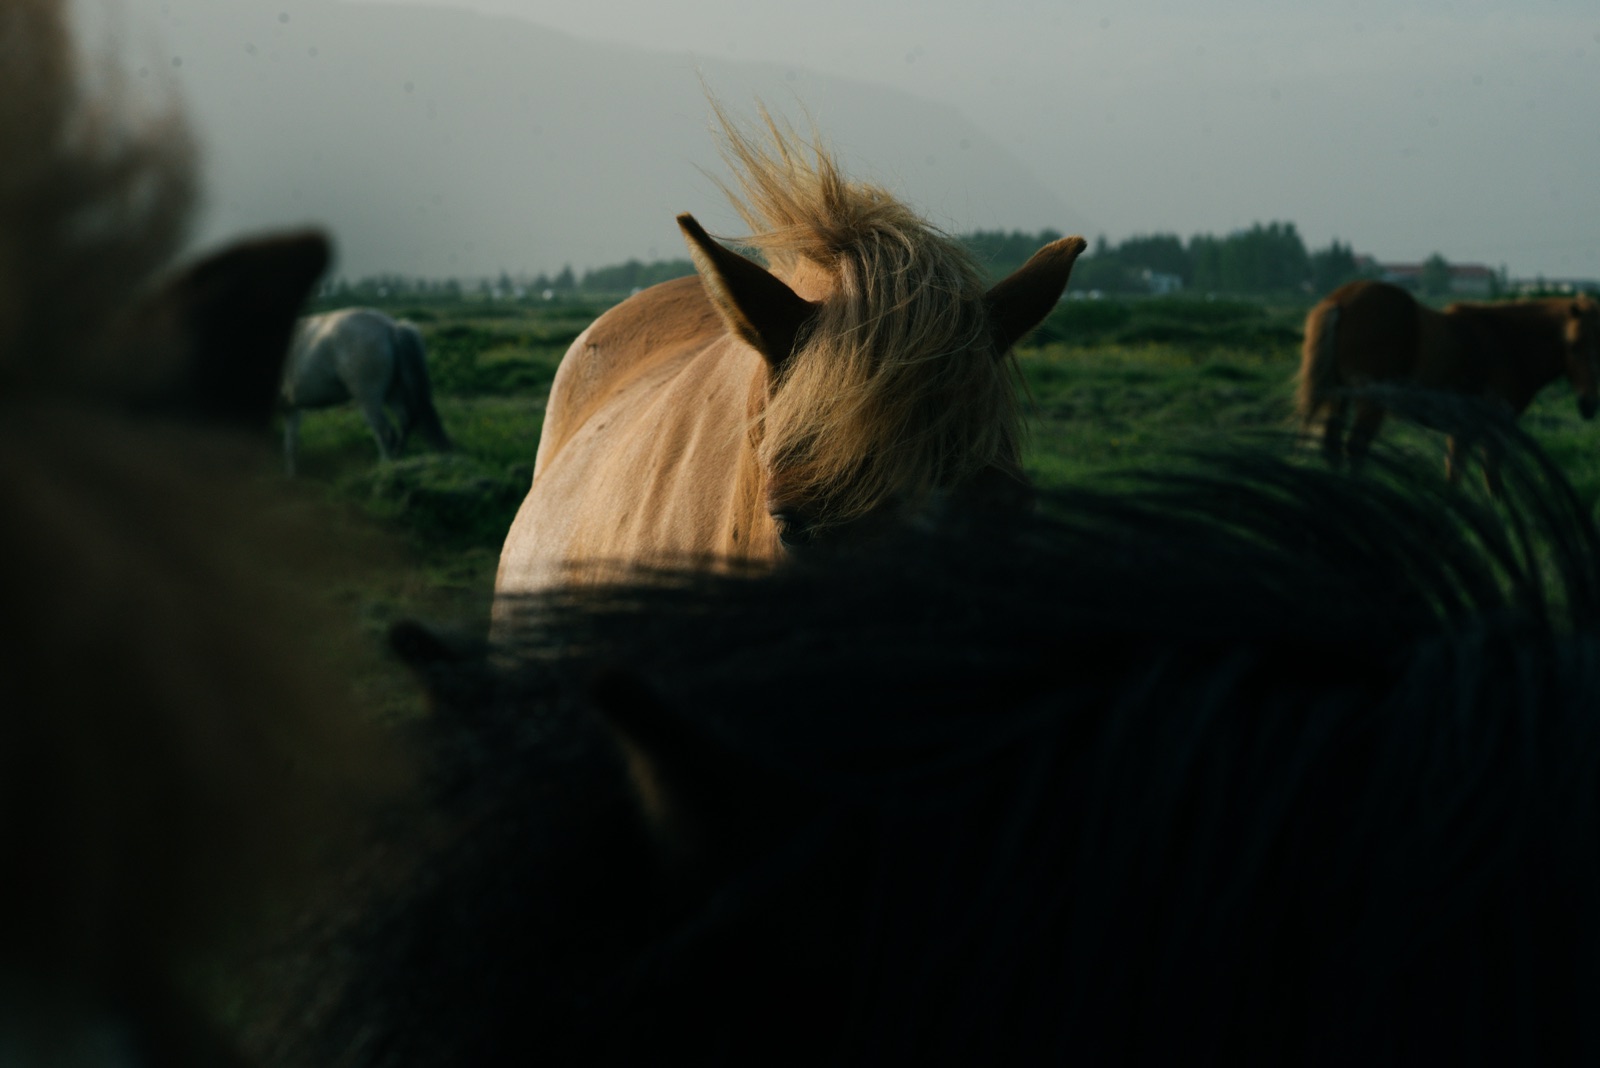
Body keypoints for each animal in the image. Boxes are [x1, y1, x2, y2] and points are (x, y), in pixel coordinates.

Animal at [281, 307, 452, 476]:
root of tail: (390, 327)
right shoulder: (292, 408)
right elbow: (291, 444)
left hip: (368, 399)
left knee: (385, 431)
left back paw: (385, 469)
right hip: (393, 393)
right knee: (404, 422)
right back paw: (396, 460)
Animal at [1298, 279, 1600, 488]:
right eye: (1572, 346)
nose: (1588, 405)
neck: (1508, 341)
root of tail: (1341, 299)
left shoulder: (1462, 429)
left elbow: (1454, 473)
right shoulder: (1493, 427)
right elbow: (1491, 477)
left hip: (1339, 397)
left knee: (1333, 447)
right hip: (1370, 402)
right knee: (1355, 448)